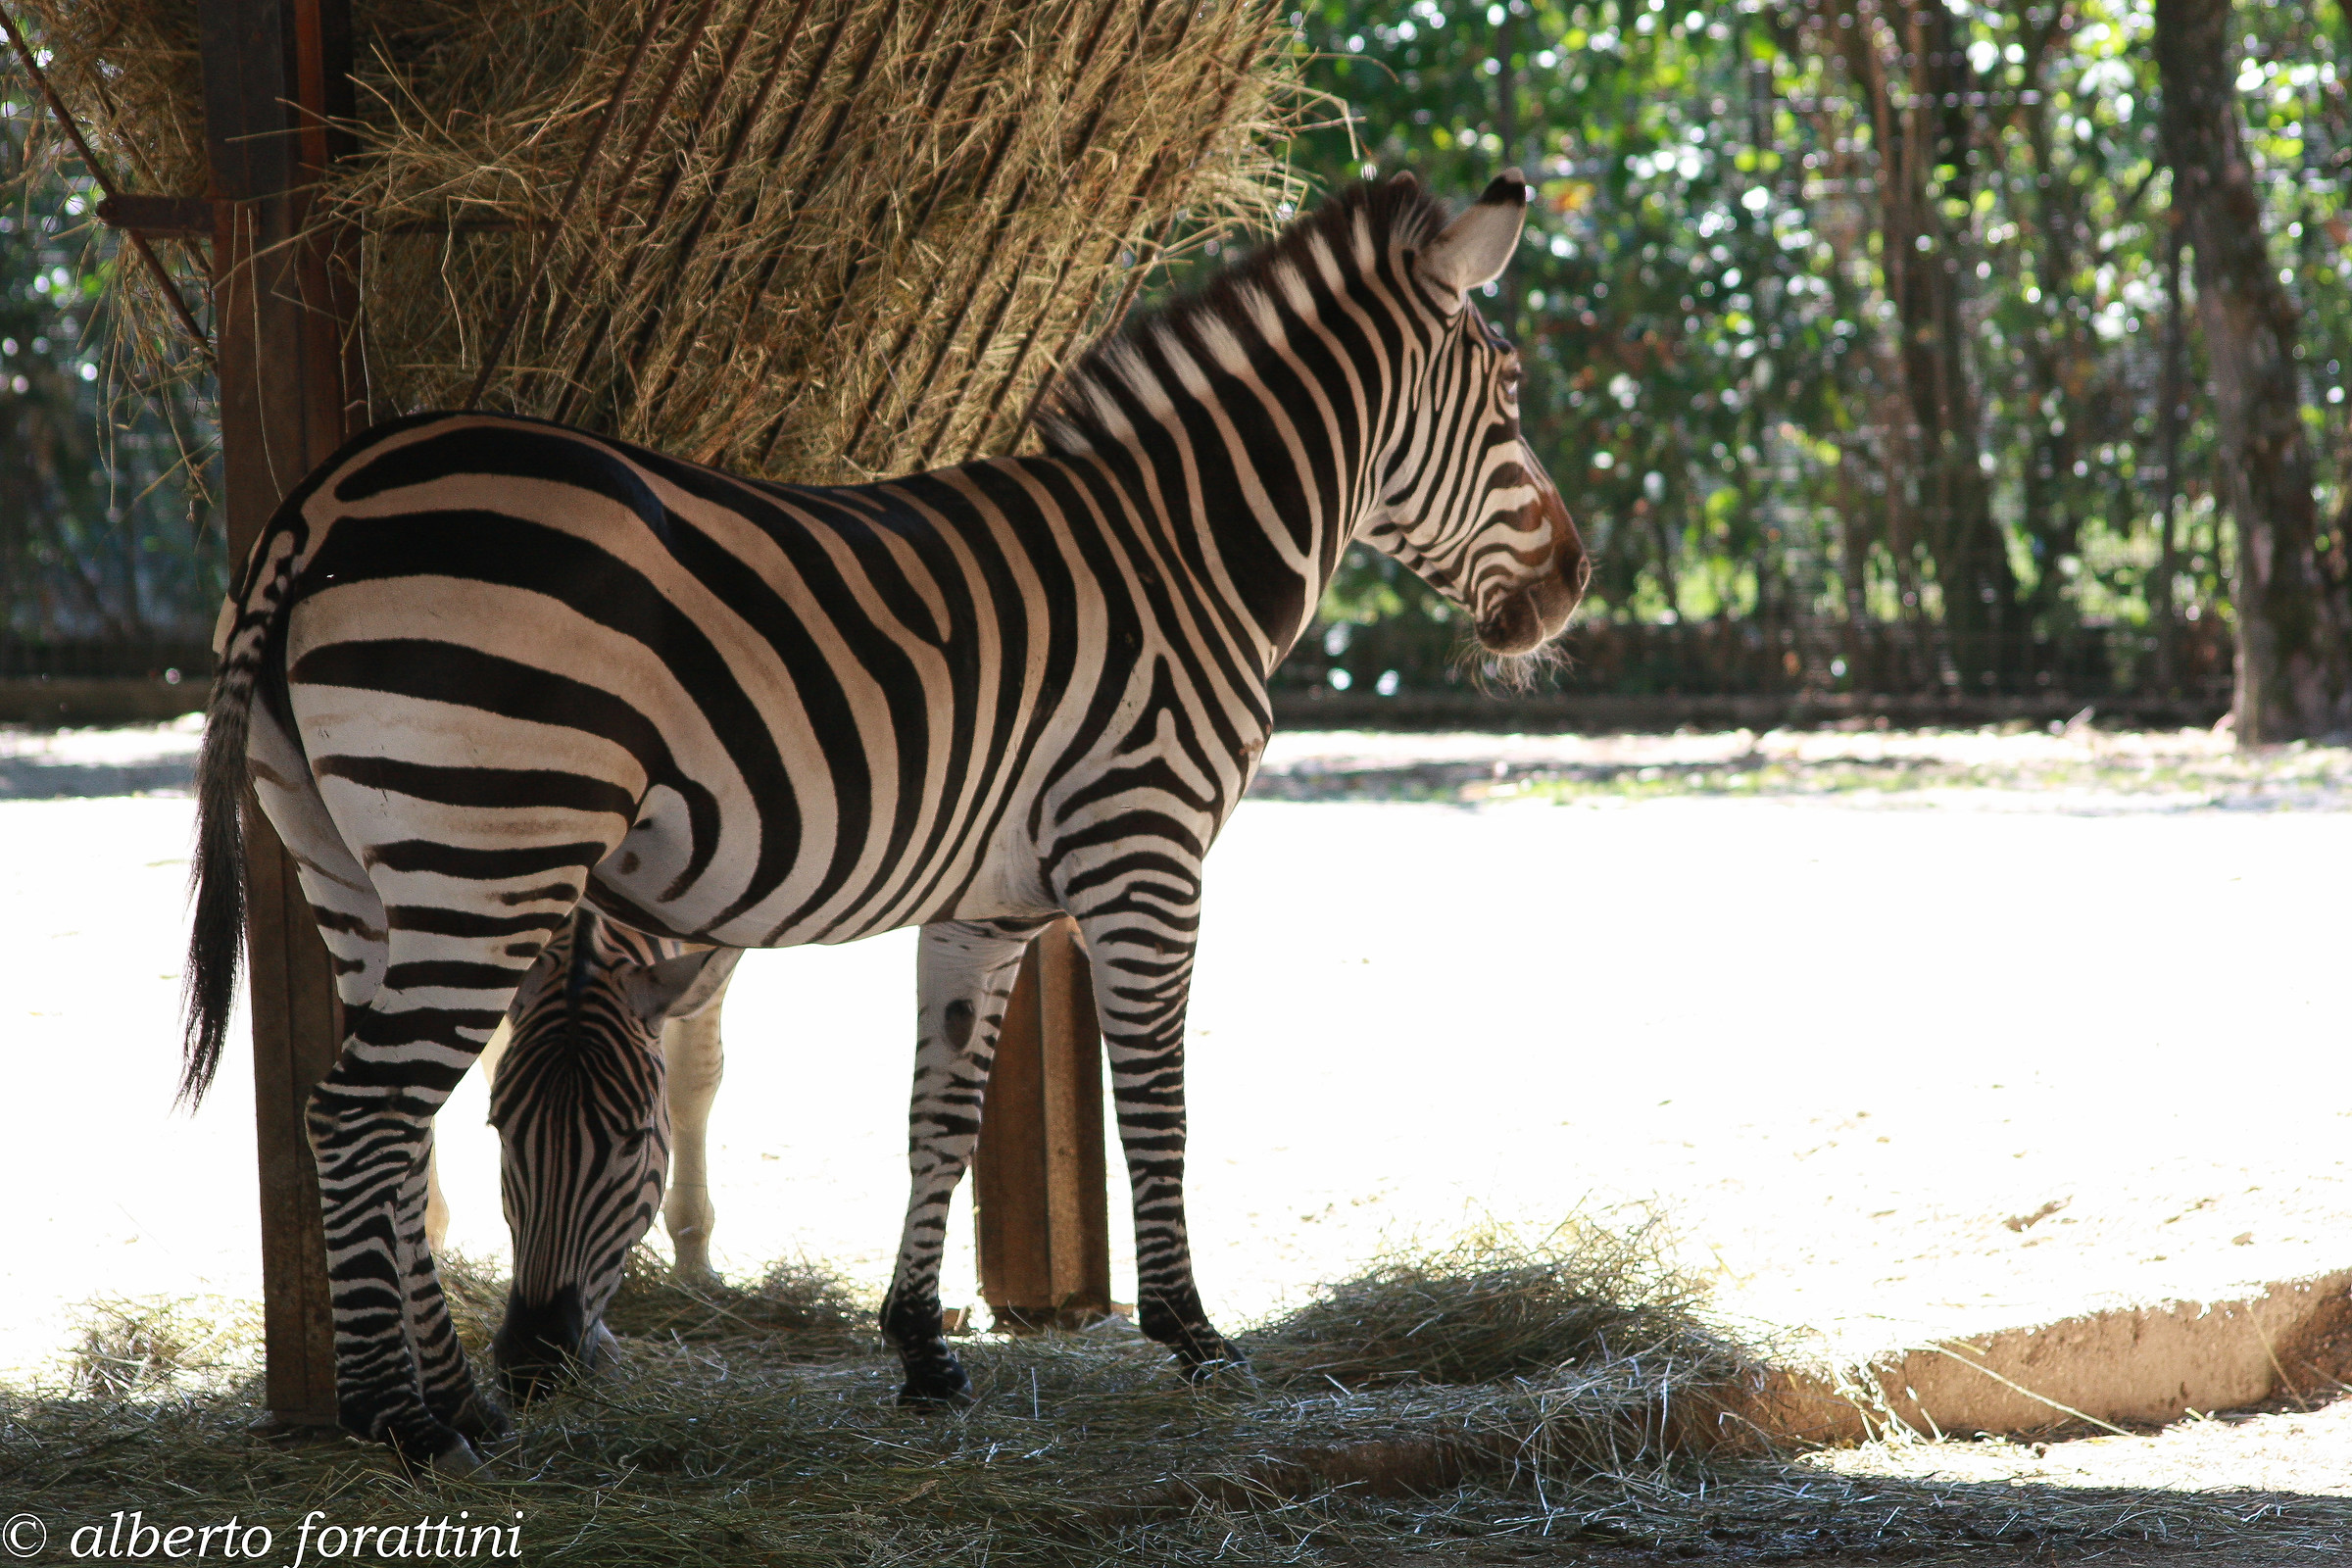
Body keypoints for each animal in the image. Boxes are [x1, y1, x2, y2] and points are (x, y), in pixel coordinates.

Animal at [180, 169, 1587, 1472]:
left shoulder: (988, 904)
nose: (1574, 584)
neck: (1185, 553)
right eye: (1512, 401)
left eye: (620, 1140)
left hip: (355, 865)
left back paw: (452, 1400)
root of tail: (324, 498)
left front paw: (920, 1352)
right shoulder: (1147, 851)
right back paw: (404, 1420)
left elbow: (939, 1118)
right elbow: (1158, 1106)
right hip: (490, 850)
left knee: (386, 1120)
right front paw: (1194, 1338)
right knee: (359, 1115)